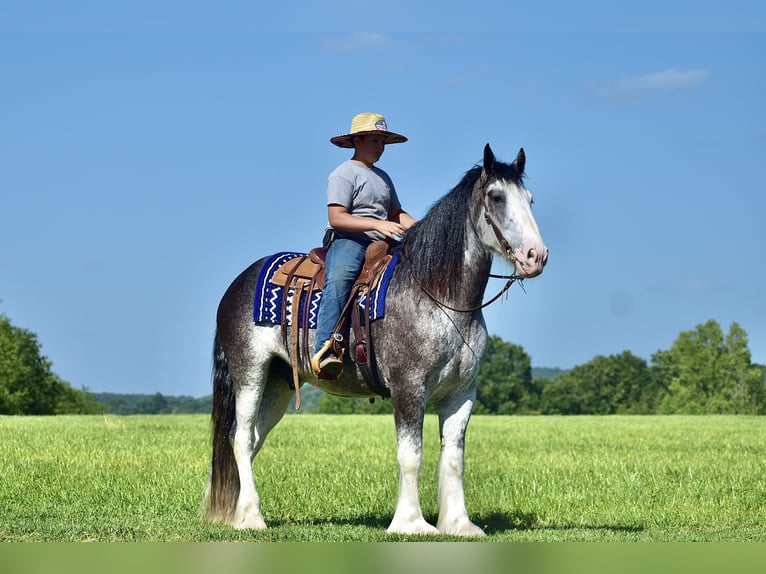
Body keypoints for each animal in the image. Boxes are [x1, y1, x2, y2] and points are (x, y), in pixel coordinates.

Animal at [201, 144, 548, 540]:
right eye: (496, 196)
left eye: (530, 199)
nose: (536, 256)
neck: (439, 296)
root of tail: (236, 285)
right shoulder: (409, 387)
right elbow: (411, 455)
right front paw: (412, 524)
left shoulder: (462, 393)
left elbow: (454, 458)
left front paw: (459, 524)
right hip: (250, 374)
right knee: (241, 438)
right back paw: (252, 517)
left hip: (278, 384)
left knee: (251, 439)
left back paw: (236, 514)